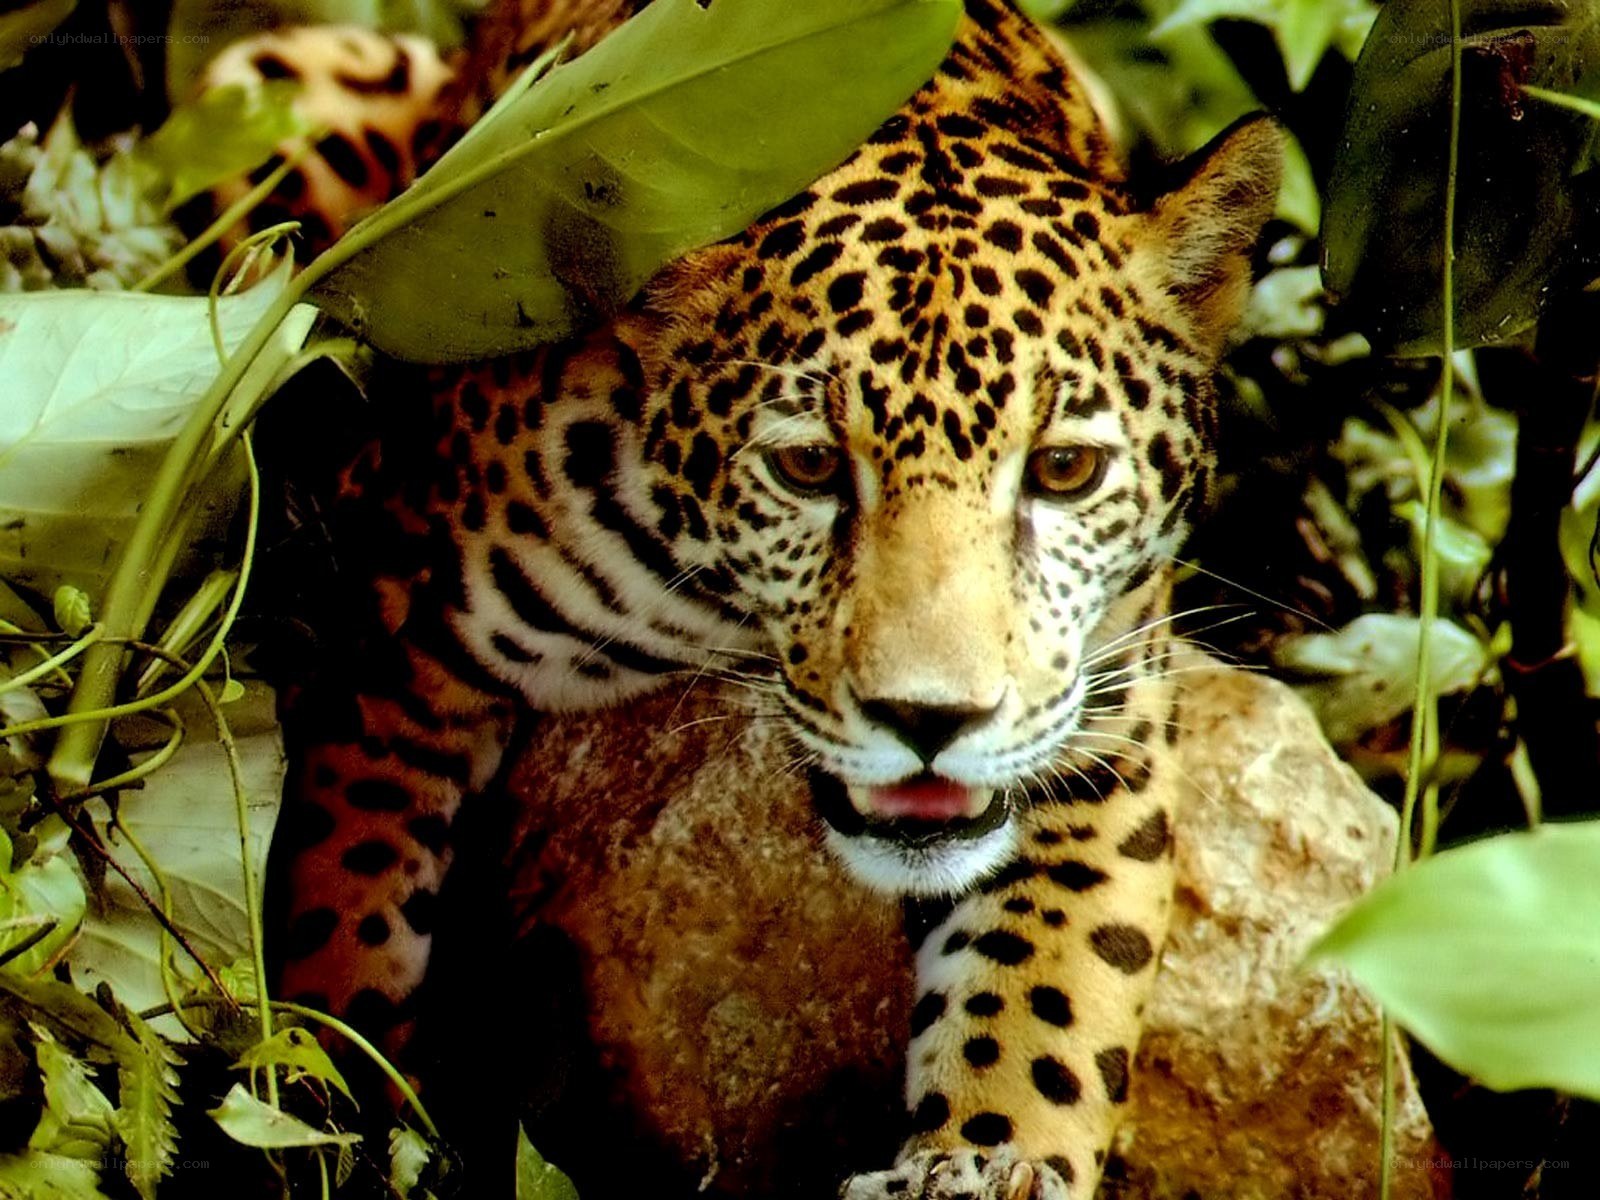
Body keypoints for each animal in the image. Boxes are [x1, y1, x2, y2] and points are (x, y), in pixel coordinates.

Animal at [203, 1, 1281, 1195]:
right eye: (808, 468)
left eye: (1063, 471)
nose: (930, 720)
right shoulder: (389, 642)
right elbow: (341, 919)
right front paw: (332, 1124)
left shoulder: (1104, 724)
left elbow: (1052, 984)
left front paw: (985, 1155)